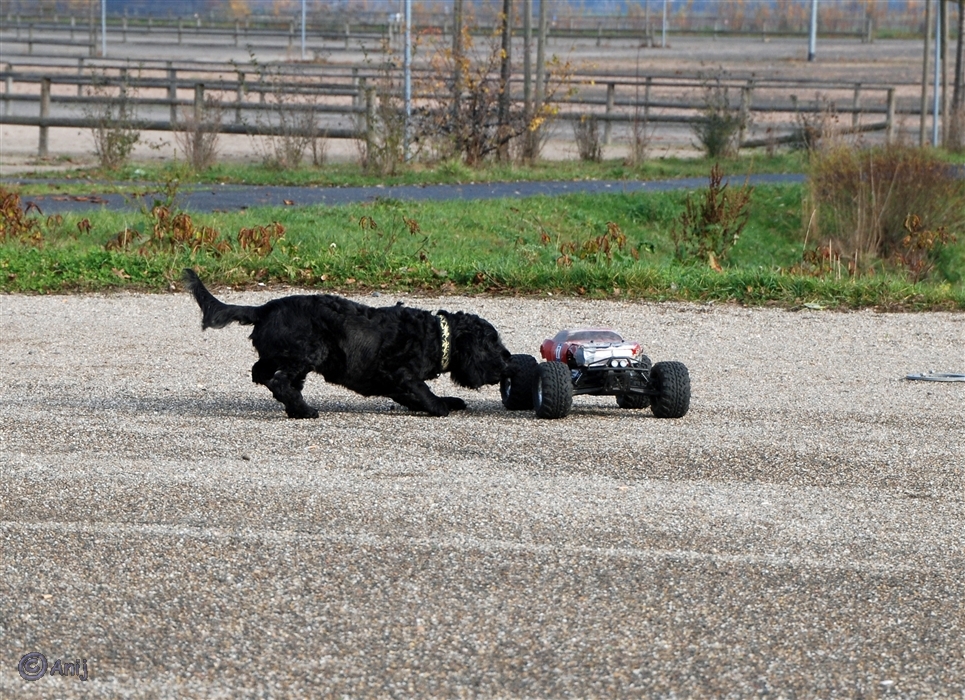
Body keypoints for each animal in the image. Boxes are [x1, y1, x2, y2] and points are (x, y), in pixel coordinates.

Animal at [183, 270, 512, 418]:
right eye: (493, 344)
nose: (508, 362)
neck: (436, 335)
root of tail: (265, 308)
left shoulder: (395, 383)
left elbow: (414, 396)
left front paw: (449, 400)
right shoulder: (400, 373)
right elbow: (425, 394)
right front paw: (442, 404)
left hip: (286, 355)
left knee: (261, 373)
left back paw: (293, 404)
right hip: (309, 352)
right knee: (278, 381)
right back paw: (304, 410)